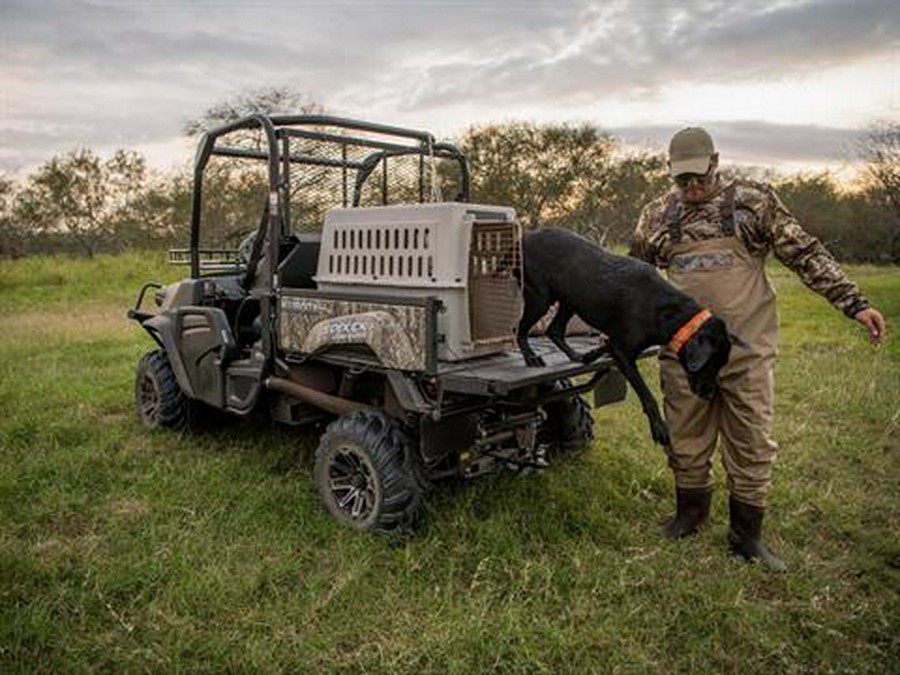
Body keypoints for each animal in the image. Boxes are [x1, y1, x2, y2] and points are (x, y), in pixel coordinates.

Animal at [516, 230, 736, 446]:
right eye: (711, 363)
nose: (708, 395)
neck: (663, 309)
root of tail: (525, 237)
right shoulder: (623, 353)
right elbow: (647, 395)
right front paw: (659, 428)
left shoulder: (617, 342)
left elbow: (605, 346)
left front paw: (591, 355)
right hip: (540, 298)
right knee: (521, 330)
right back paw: (531, 357)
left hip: (569, 300)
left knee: (553, 330)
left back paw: (575, 355)